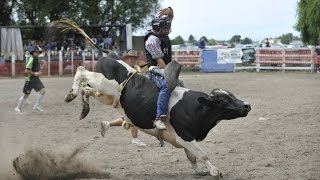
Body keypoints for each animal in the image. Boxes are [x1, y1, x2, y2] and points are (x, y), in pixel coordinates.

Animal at [64, 54, 250, 179]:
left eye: (231, 95)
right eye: (222, 100)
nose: (246, 105)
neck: (194, 107)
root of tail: (109, 57)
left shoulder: (184, 138)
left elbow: (192, 156)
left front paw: (200, 171)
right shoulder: (185, 135)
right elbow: (201, 154)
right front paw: (215, 171)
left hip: (105, 95)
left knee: (86, 89)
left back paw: (84, 109)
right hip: (103, 83)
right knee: (81, 71)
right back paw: (71, 94)